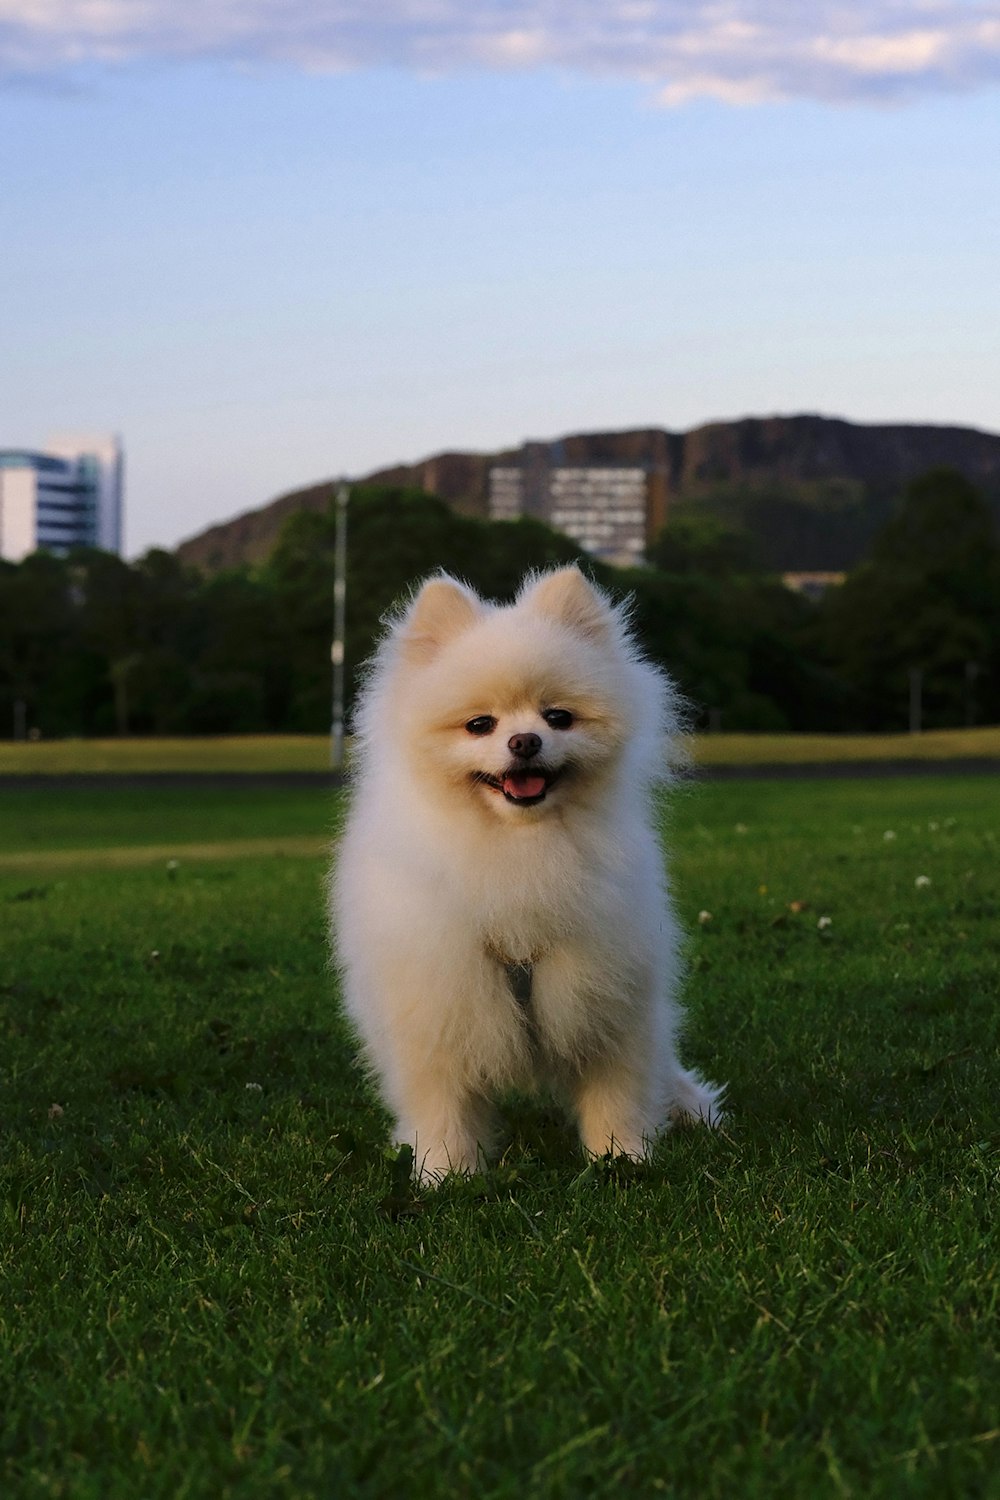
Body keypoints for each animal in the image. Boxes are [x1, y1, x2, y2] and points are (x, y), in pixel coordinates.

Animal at [332, 564, 722, 1182]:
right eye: (479, 724)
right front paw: (446, 1173)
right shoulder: (439, 1004)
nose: (524, 741)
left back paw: (692, 1110)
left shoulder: (607, 994)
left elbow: (617, 1090)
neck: (520, 848)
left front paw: (622, 1158)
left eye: (558, 717)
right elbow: (443, 1103)